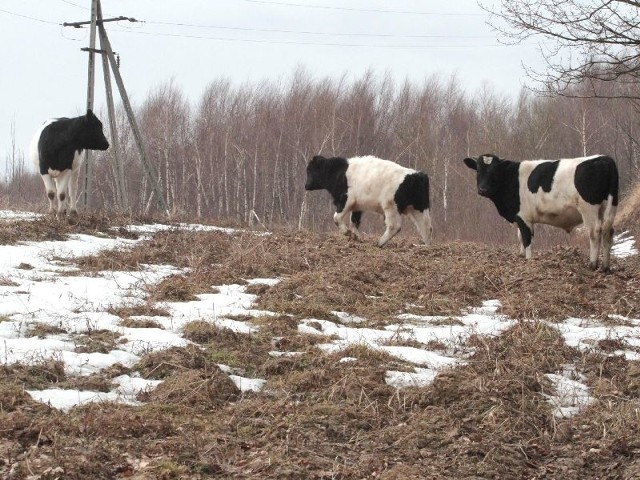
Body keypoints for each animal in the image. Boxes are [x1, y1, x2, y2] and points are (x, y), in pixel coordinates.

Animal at [302, 155, 432, 248]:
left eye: (309, 170)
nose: (306, 185)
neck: (339, 173)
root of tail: (418, 175)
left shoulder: (346, 200)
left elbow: (337, 218)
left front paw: (347, 233)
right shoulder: (357, 206)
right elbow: (354, 222)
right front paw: (356, 237)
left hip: (391, 206)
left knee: (394, 226)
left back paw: (380, 243)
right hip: (419, 207)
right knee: (425, 226)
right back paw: (426, 247)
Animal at [462, 156, 616, 272]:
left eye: (495, 171)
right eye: (478, 170)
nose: (483, 189)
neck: (511, 179)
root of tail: (604, 158)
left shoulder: (524, 216)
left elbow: (526, 238)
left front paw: (528, 259)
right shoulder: (520, 217)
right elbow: (520, 237)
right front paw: (521, 255)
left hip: (589, 209)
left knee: (595, 232)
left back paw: (592, 264)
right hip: (609, 207)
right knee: (608, 231)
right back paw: (605, 267)